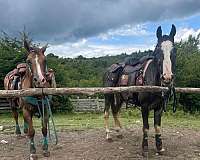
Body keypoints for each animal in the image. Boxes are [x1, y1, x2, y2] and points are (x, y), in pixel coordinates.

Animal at [103, 24, 177, 155]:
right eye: (157, 51)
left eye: (174, 51)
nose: (167, 77)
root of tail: (108, 70)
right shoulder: (144, 106)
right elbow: (146, 127)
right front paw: (145, 148)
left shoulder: (159, 107)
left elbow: (157, 127)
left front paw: (159, 147)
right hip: (108, 96)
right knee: (106, 113)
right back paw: (108, 135)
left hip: (120, 98)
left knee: (115, 111)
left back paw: (119, 132)